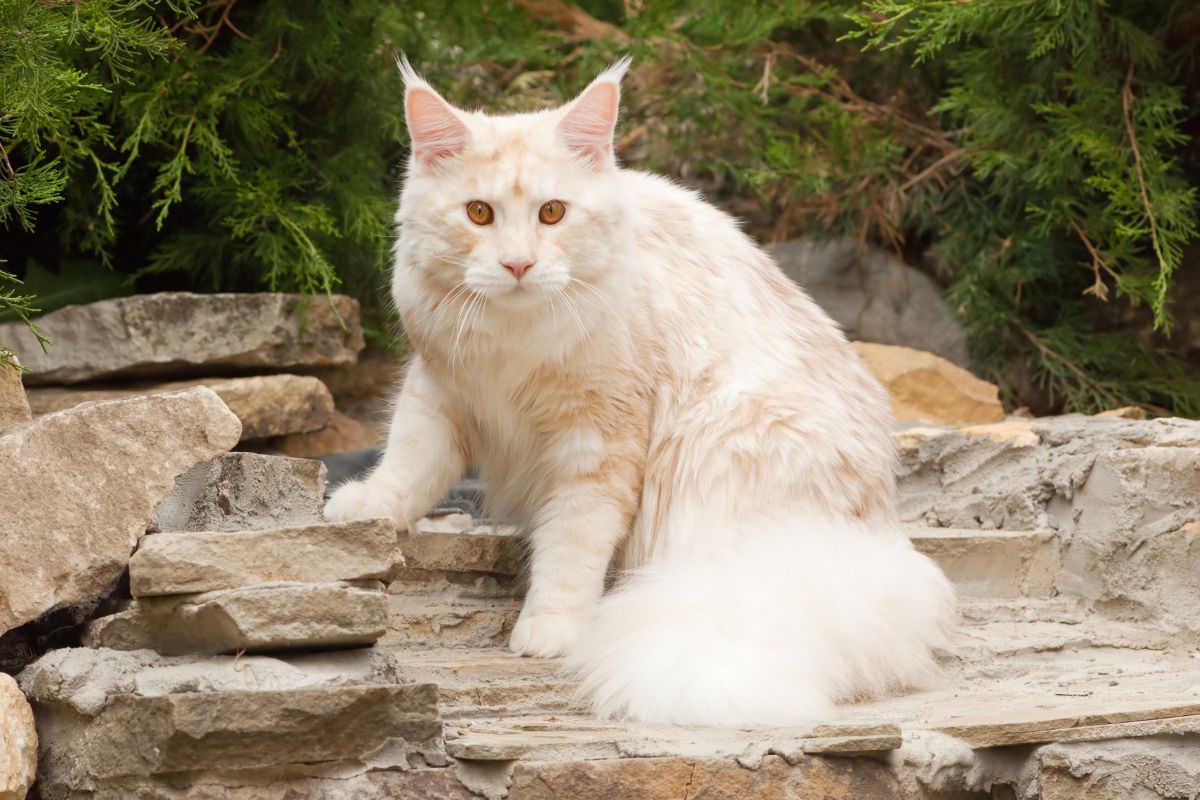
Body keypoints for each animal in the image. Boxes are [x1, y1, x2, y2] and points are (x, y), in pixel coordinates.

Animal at [321, 59, 955, 729]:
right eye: (478, 214)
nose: (518, 265)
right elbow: (409, 464)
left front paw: (551, 626)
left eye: (552, 213)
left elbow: (572, 546)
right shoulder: (440, 390)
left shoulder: (599, 443)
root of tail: (876, 536)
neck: (513, 342)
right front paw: (367, 506)